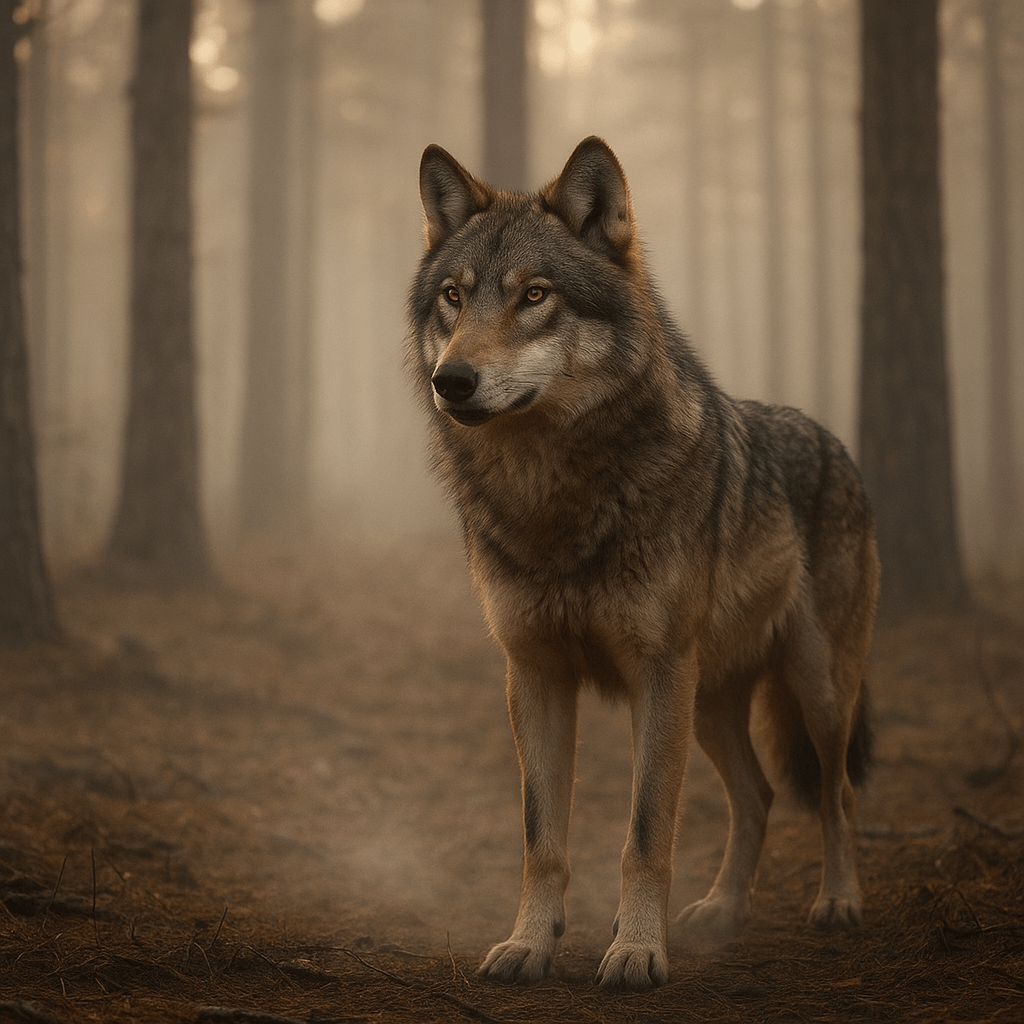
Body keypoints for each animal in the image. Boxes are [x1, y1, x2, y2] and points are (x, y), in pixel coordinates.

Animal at [407, 136, 879, 990]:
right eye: (454, 298)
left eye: (535, 295)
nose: (450, 380)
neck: (553, 498)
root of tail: (832, 439)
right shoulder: (534, 674)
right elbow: (542, 839)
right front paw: (530, 943)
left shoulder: (657, 673)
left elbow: (645, 834)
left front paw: (635, 950)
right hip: (711, 700)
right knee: (758, 796)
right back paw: (722, 911)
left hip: (814, 691)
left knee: (836, 796)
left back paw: (837, 901)